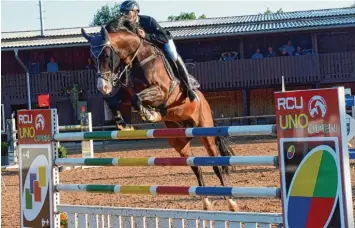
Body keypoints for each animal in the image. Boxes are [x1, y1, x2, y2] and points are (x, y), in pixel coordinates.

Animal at [80, 16, 239, 212]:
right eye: (92, 59)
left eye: (107, 56)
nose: (103, 87)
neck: (138, 58)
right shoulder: (127, 93)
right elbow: (114, 101)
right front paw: (123, 124)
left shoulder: (161, 91)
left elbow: (138, 99)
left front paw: (150, 114)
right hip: (179, 140)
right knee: (195, 165)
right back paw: (206, 202)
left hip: (205, 131)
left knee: (216, 164)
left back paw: (231, 202)